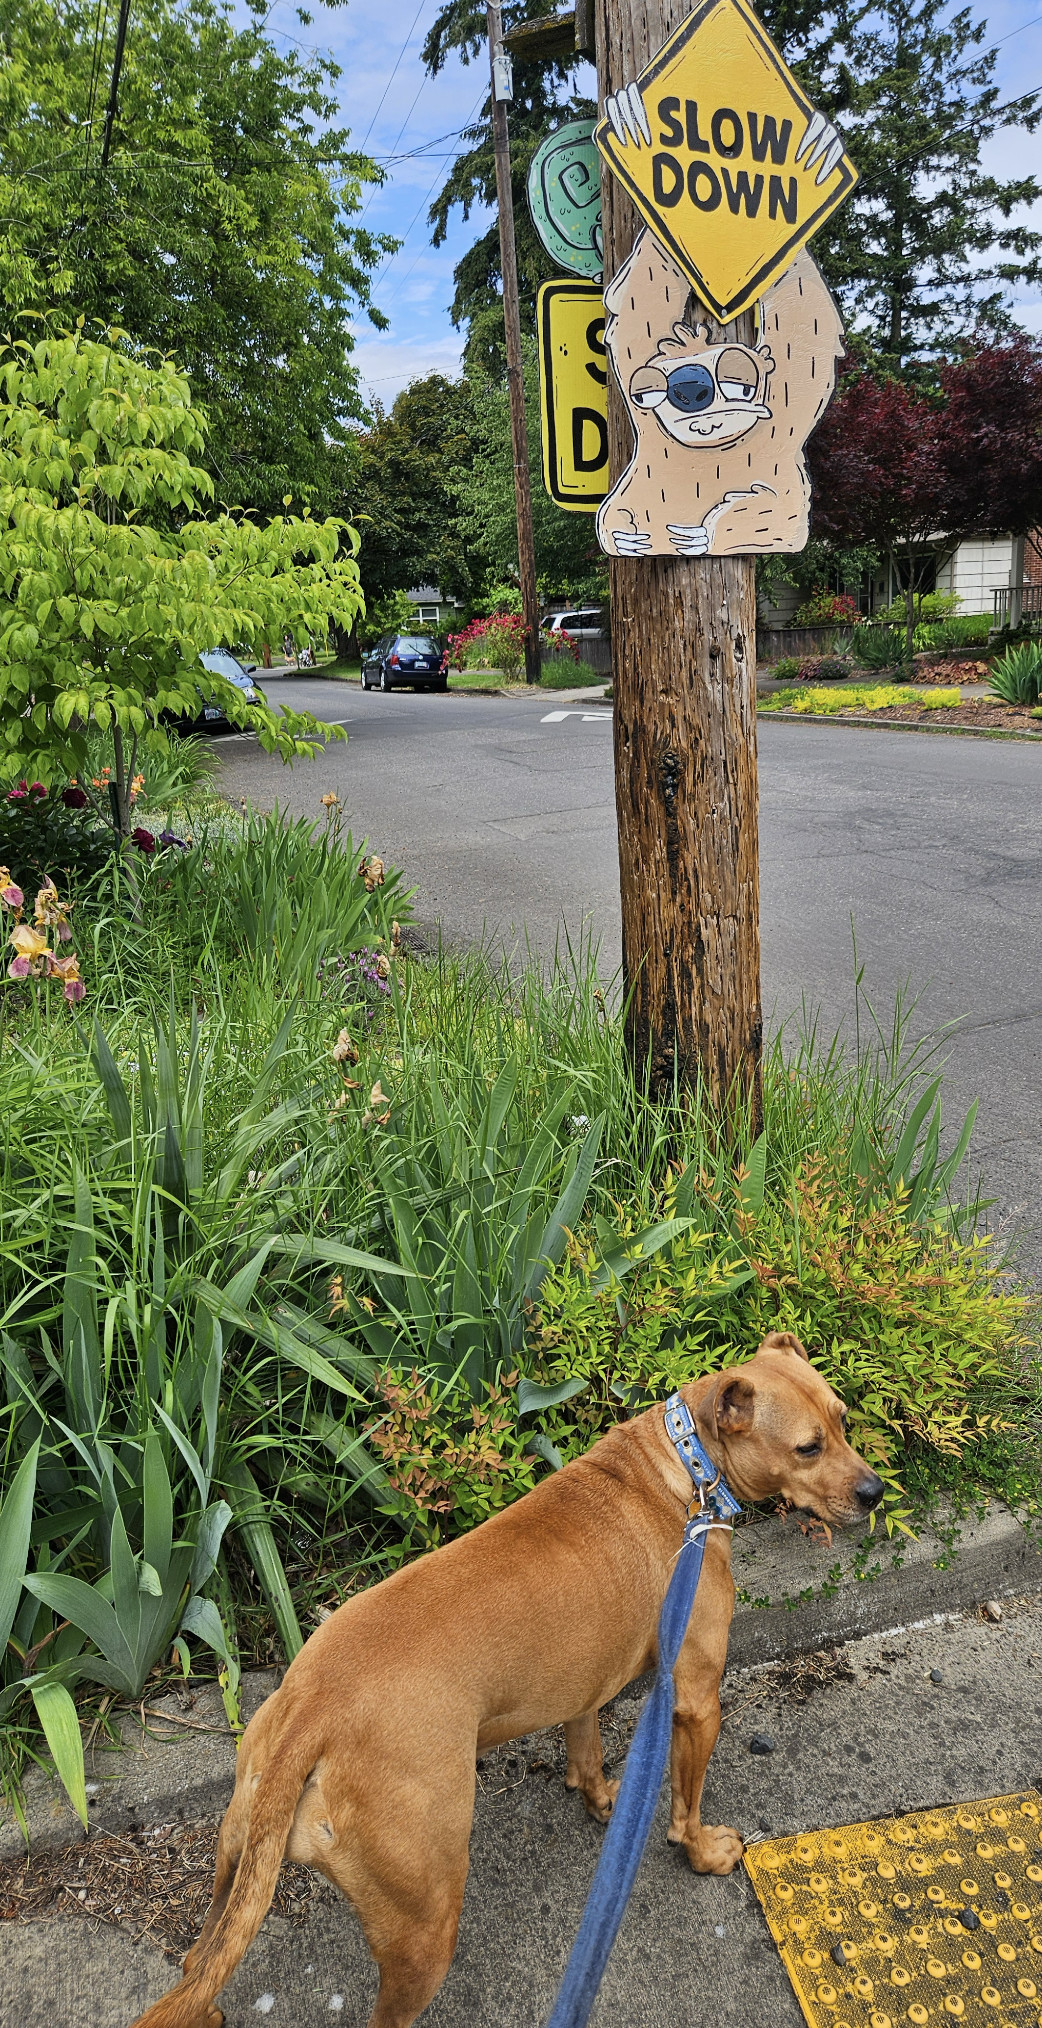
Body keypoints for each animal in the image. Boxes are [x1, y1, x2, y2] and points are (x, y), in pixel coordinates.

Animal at [127, 1330, 875, 2028]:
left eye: (843, 1418)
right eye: (808, 1448)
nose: (875, 1491)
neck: (686, 1467)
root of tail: (314, 1707)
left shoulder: (583, 1687)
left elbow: (587, 1752)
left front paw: (600, 1798)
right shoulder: (694, 1699)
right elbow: (684, 1803)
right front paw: (702, 1851)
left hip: (236, 1857)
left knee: (199, 1961)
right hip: (425, 1923)